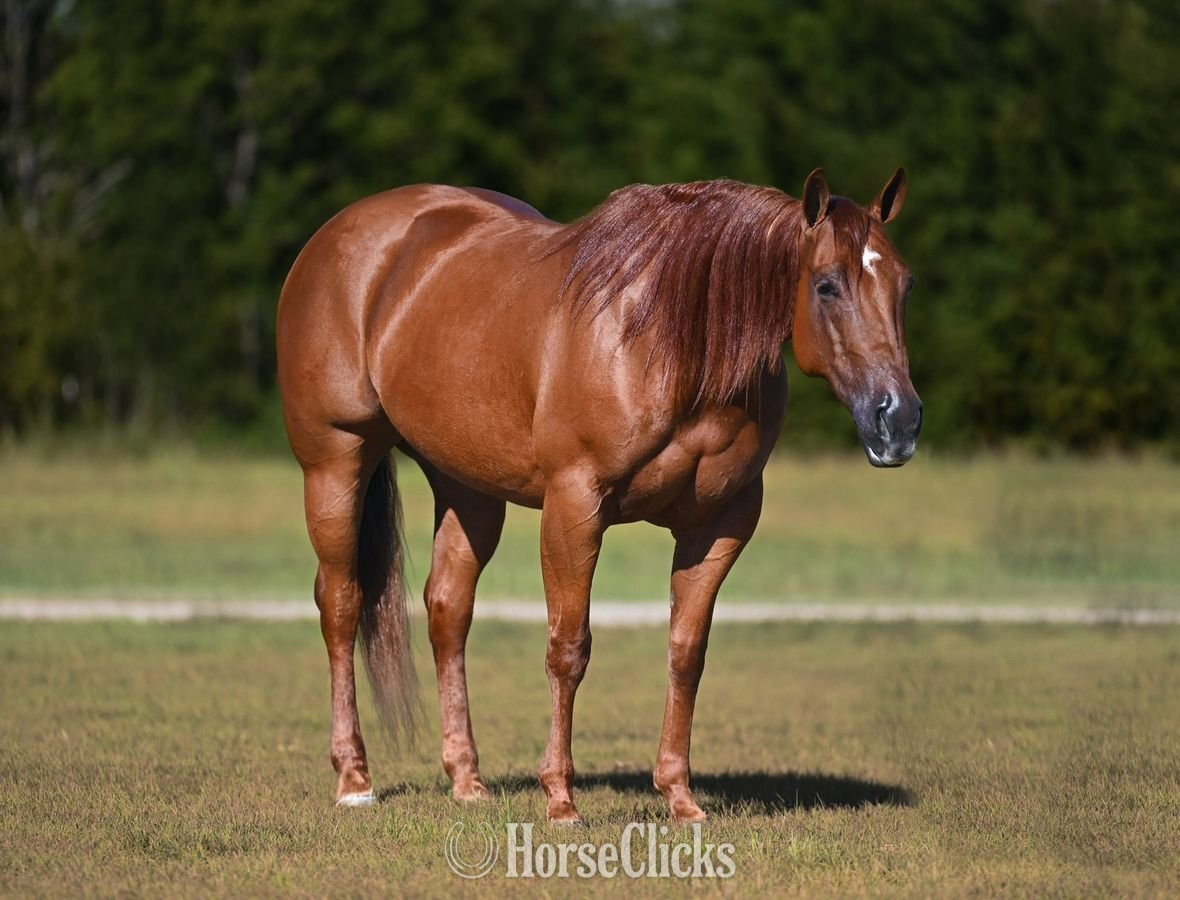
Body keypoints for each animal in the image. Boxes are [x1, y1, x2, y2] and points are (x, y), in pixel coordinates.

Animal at [276, 167, 921, 823]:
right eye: (827, 285)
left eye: (904, 282)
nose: (898, 420)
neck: (670, 340)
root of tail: (337, 237)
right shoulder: (574, 507)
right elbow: (569, 648)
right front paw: (561, 798)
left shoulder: (722, 523)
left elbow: (687, 651)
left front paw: (680, 796)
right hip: (335, 463)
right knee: (341, 603)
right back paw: (355, 778)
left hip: (467, 487)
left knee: (448, 609)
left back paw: (466, 779)